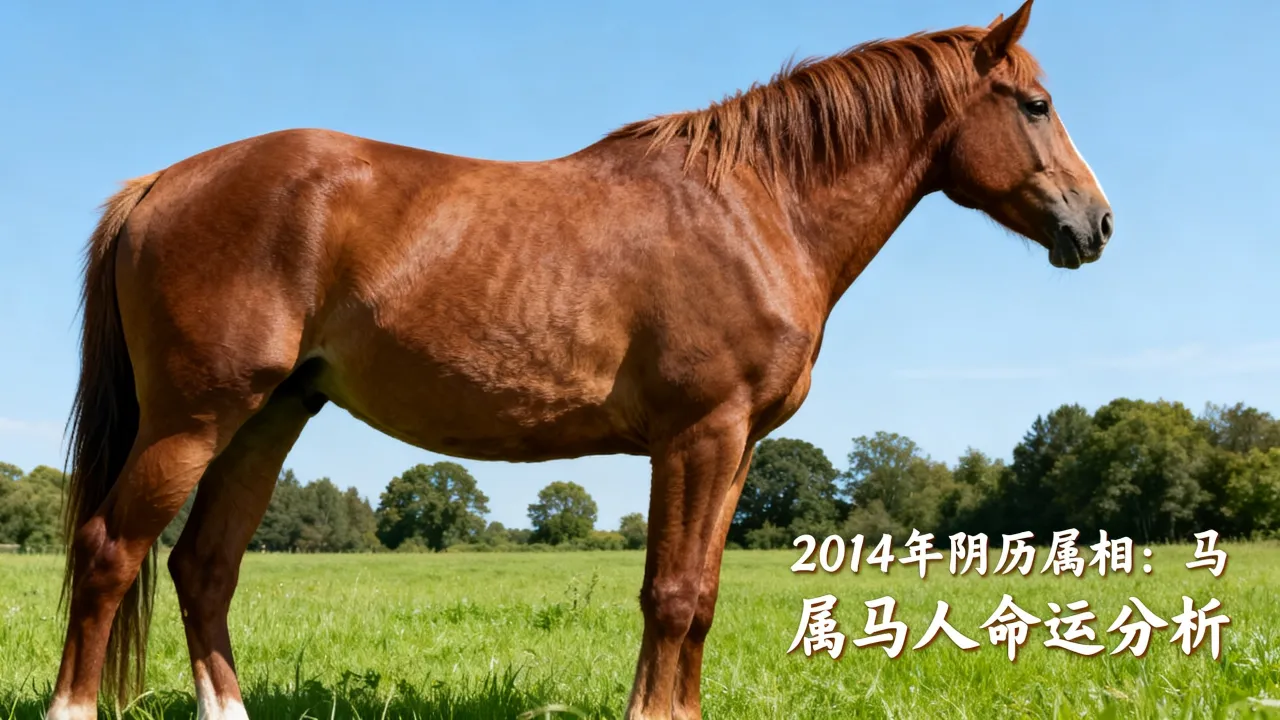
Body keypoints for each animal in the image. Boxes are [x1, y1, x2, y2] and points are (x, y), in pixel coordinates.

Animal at [46, 1, 1111, 718]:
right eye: (1036, 104)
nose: (1096, 225)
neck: (755, 209)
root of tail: (158, 185)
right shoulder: (698, 435)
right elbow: (670, 597)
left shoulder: (738, 449)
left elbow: (701, 598)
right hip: (193, 419)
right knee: (110, 553)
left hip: (267, 417)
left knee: (203, 566)